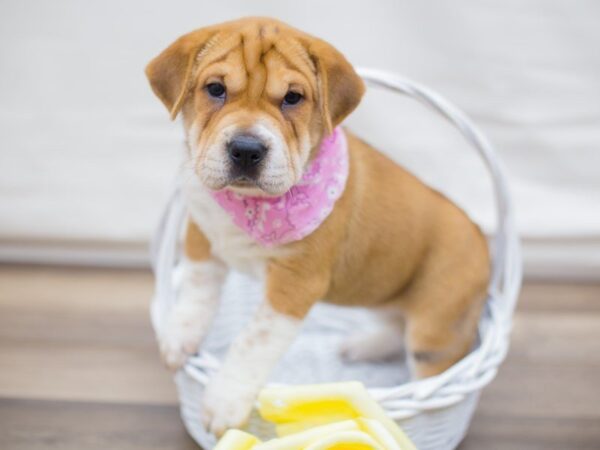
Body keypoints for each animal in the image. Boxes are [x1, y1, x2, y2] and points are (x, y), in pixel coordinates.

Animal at [144, 17, 488, 436]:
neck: (250, 206)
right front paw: (179, 335)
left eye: (293, 98)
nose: (246, 149)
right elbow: (197, 290)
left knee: (433, 367)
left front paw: (224, 400)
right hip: (384, 294)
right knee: (394, 322)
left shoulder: (294, 284)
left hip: (435, 329)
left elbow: (252, 342)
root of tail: (483, 237)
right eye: (215, 89)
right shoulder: (202, 235)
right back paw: (362, 345)